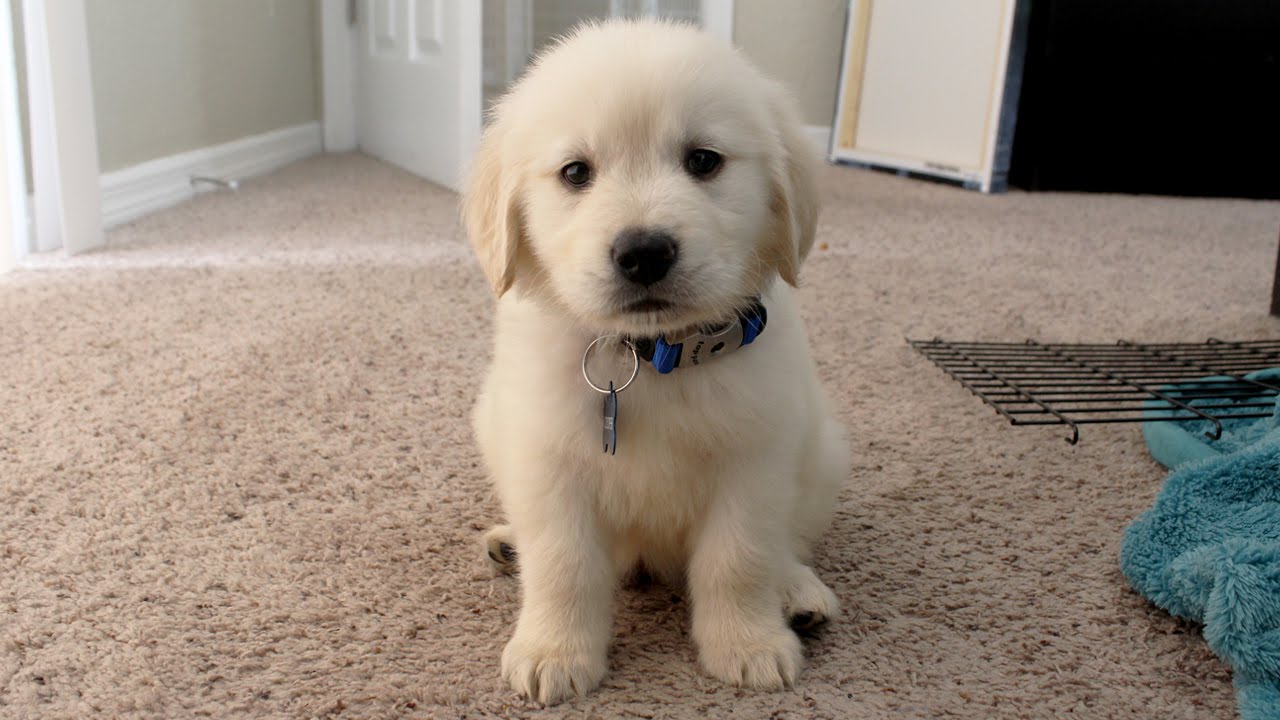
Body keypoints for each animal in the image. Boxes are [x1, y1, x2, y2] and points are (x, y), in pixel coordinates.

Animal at [463, 18, 849, 707]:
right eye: (575, 172)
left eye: (703, 160)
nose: (643, 252)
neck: (647, 356)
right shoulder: (547, 460)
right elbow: (563, 563)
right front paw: (554, 652)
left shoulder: (754, 461)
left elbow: (739, 558)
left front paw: (747, 644)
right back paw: (511, 546)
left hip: (823, 450)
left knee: (787, 542)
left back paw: (796, 590)